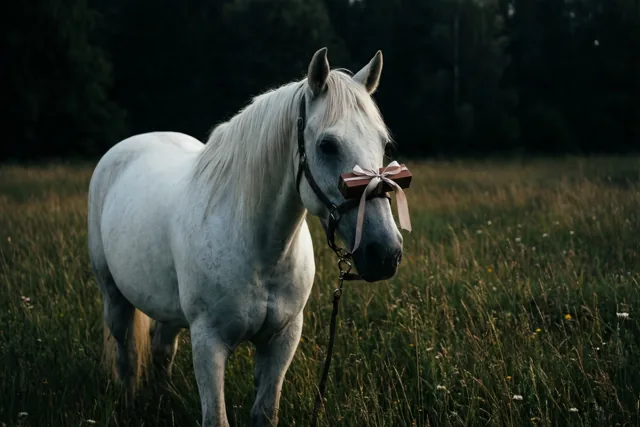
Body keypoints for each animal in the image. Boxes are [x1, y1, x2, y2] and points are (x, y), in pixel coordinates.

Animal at [87, 47, 404, 427]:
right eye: (327, 145)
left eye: (384, 144)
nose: (384, 252)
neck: (261, 251)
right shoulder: (208, 343)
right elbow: (216, 418)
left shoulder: (281, 340)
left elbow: (265, 413)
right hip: (113, 294)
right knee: (127, 356)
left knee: (162, 349)